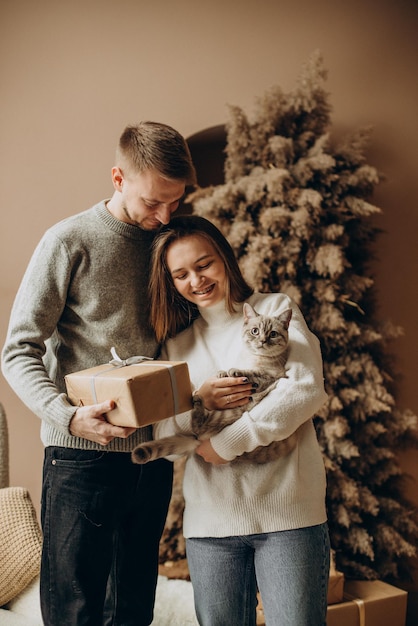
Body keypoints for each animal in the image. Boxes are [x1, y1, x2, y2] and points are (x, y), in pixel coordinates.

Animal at [132, 302, 298, 464]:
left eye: (273, 334)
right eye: (255, 331)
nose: (263, 341)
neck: (253, 357)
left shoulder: (271, 377)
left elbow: (249, 373)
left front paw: (235, 371)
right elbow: (228, 373)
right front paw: (221, 373)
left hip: (229, 414)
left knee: (199, 427)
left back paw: (197, 399)